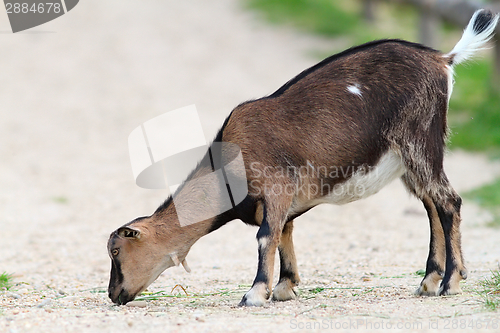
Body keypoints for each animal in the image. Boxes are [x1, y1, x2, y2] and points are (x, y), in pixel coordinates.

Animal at [107, 9, 498, 306]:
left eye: (115, 251)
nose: (113, 294)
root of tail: (443, 60)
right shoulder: (282, 202)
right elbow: (285, 233)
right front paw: (284, 287)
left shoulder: (276, 186)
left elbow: (266, 236)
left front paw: (255, 294)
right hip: (410, 157)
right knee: (431, 205)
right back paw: (429, 281)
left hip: (419, 140)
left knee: (448, 201)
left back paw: (451, 282)